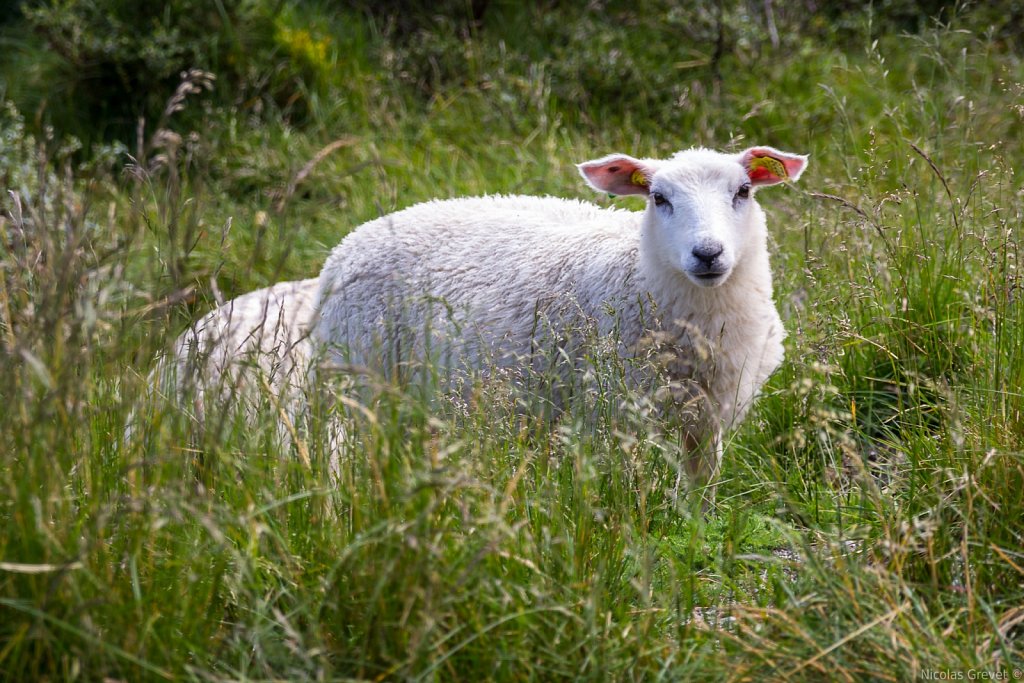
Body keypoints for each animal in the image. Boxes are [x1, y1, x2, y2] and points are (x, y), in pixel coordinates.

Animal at [313, 144, 806, 499]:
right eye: (659, 198)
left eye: (743, 192)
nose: (707, 254)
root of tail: (351, 239)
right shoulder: (613, 412)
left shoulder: (707, 415)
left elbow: (703, 485)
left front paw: (698, 530)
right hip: (362, 383)